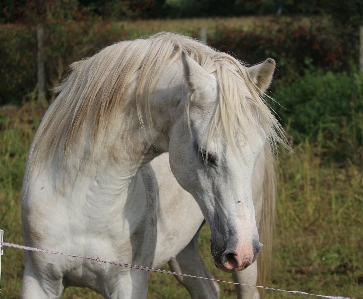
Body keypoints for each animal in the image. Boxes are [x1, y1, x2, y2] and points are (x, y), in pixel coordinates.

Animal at [21, 33, 286, 299]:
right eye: (205, 153)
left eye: (256, 151)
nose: (242, 251)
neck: (82, 201)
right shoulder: (39, 281)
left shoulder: (129, 283)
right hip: (184, 250)